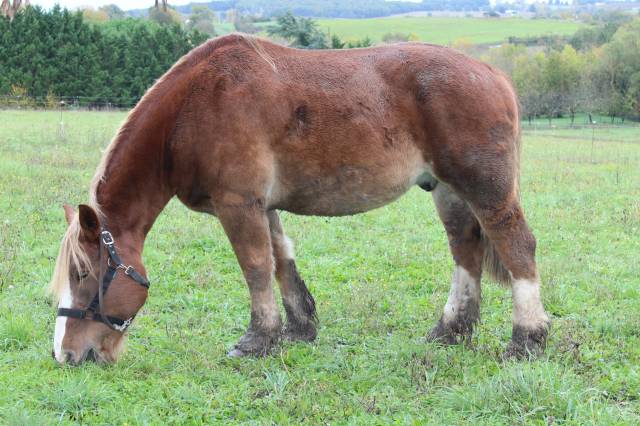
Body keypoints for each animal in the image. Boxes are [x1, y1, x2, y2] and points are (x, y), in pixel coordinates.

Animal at [49, 34, 550, 365]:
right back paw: (451, 331)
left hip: (486, 190)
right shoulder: (262, 206)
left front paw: (256, 340)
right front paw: (298, 328)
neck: (195, 106)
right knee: (465, 251)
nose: (66, 353)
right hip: (448, 191)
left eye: (82, 274)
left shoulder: (238, 204)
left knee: (517, 248)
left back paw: (526, 338)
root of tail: (494, 74)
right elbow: (281, 262)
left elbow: (255, 269)